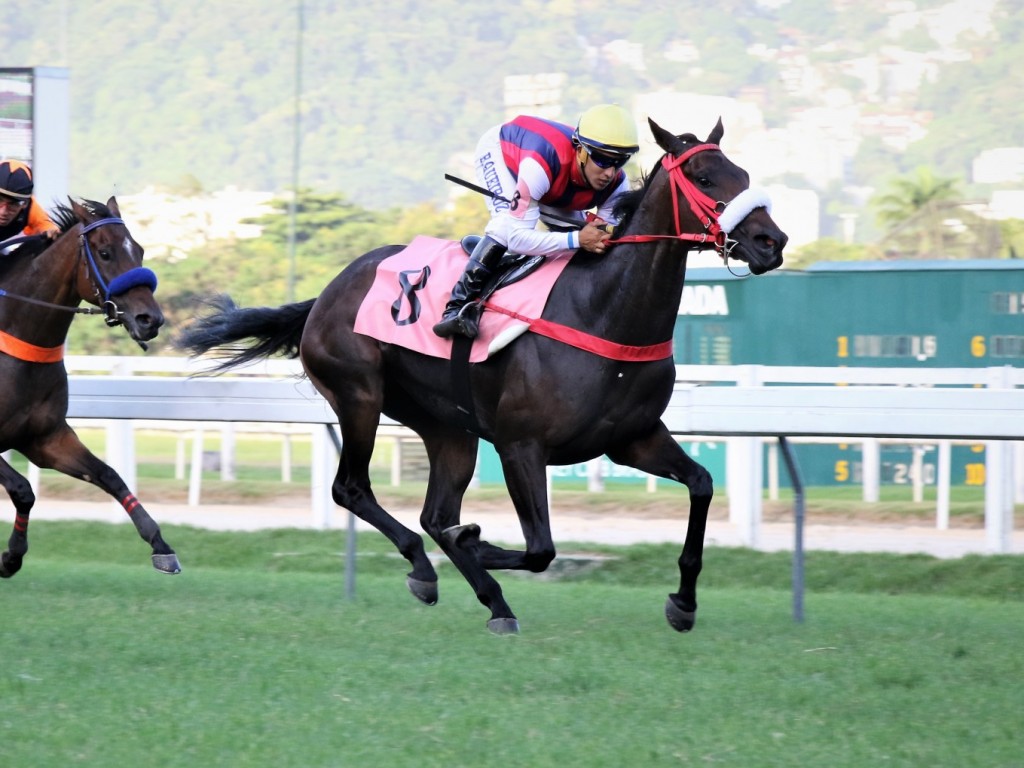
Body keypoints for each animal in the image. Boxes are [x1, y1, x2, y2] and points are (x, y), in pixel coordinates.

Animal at [0, 196, 180, 577]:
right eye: (105, 252)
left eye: (139, 250)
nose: (150, 320)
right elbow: (23, 489)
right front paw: (11, 557)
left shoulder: (45, 438)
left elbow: (109, 475)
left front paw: (161, 545)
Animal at [178, 120, 782, 634]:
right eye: (705, 179)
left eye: (745, 176)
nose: (770, 242)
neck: (603, 310)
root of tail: (326, 292)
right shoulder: (521, 445)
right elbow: (538, 549)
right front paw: (474, 542)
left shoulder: (632, 438)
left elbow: (701, 484)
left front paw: (684, 602)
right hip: (359, 396)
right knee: (354, 488)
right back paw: (430, 569)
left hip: (449, 427)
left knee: (433, 513)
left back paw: (490, 600)